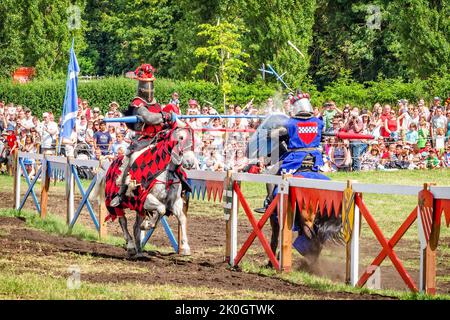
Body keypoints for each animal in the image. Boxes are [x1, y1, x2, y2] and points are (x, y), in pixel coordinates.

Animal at [90, 126, 198, 258]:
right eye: (181, 138)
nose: (190, 162)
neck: (166, 174)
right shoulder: (145, 199)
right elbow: (161, 209)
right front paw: (147, 225)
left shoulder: (174, 202)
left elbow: (181, 218)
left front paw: (186, 248)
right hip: (115, 204)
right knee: (123, 221)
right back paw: (131, 246)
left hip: (139, 208)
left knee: (135, 226)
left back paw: (139, 251)